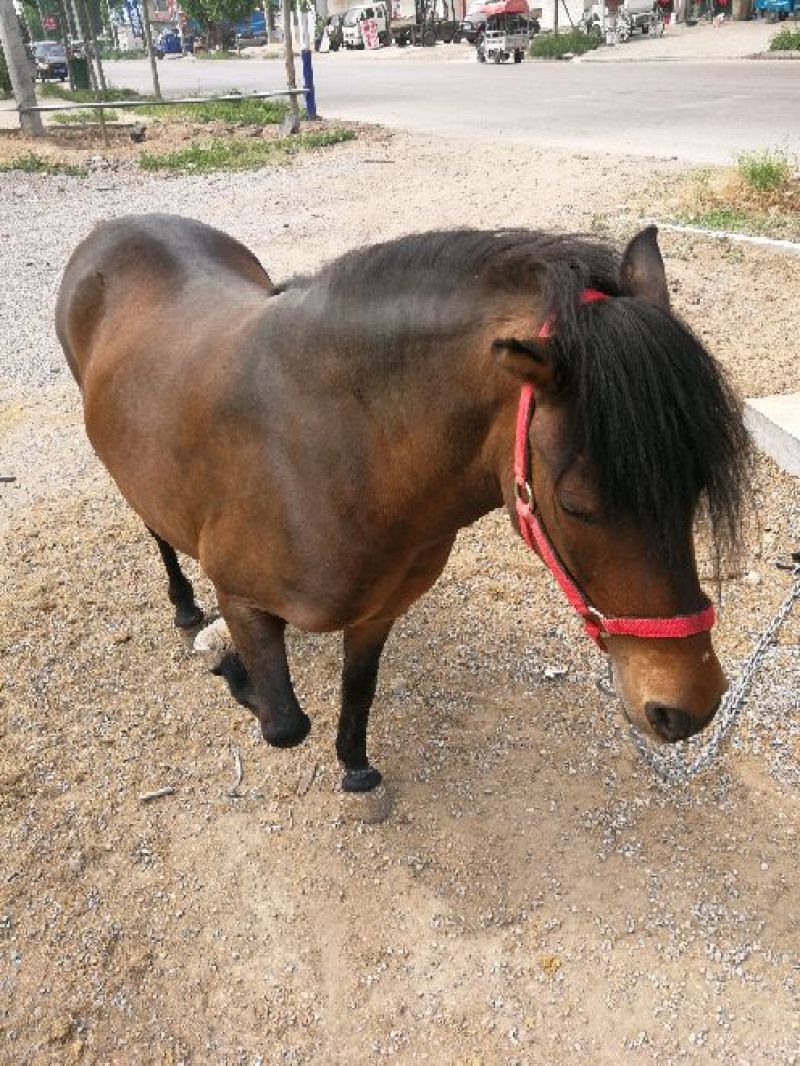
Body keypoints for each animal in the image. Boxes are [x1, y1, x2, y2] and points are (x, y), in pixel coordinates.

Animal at [56, 216, 750, 793]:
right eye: (577, 504)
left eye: (694, 485)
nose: (689, 707)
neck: (330, 456)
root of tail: (114, 228)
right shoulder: (242, 597)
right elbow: (284, 723)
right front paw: (233, 672)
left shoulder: (379, 610)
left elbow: (359, 690)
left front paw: (356, 768)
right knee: (156, 529)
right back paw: (183, 606)